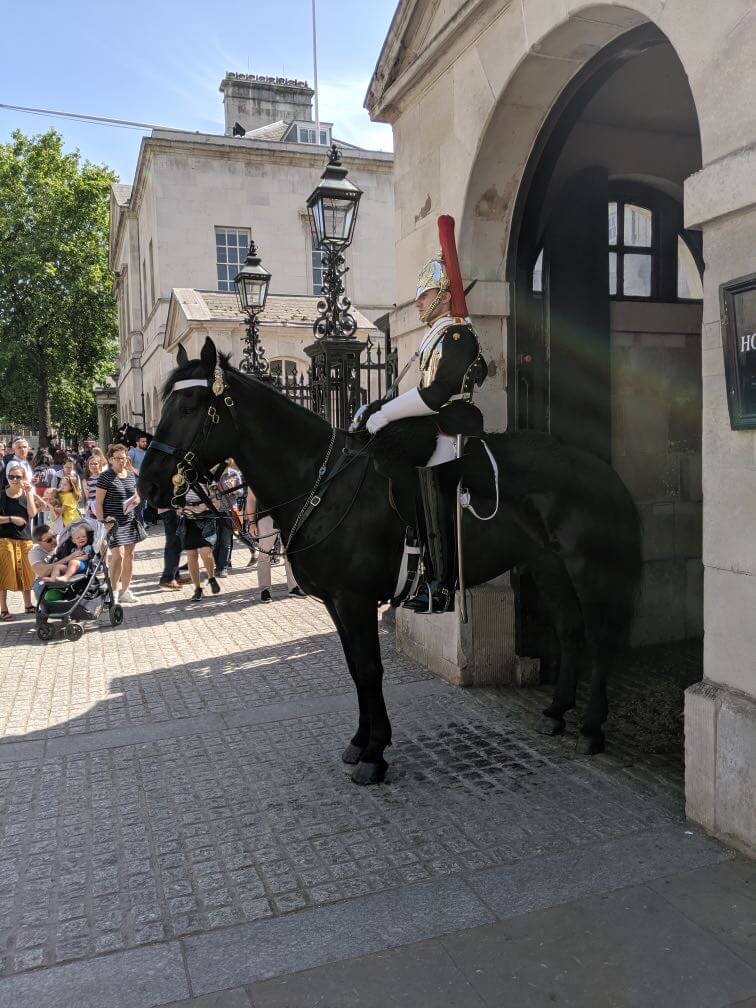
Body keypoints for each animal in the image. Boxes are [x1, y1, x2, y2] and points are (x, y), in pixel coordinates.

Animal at [139, 338, 641, 786]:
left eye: (190, 405)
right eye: (164, 404)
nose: (149, 488)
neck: (320, 481)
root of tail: (599, 466)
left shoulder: (355, 599)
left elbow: (368, 668)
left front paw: (375, 754)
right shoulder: (336, 602)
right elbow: (353, 667)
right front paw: (361, 741)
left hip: (588, 568)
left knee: (599, 638)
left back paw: (591, 729)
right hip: (546, 564)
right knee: (569, 631)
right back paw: (556, 712)